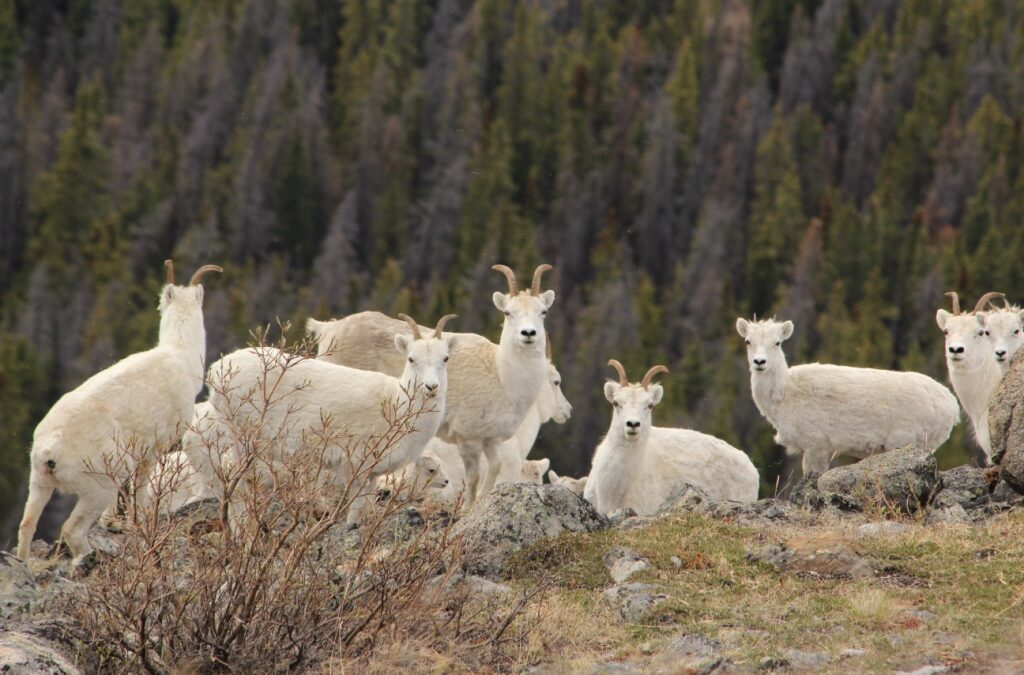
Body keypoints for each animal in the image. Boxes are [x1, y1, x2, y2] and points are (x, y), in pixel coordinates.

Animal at [16, 261, 221, 561]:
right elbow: (142, 486)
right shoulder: (153, 448)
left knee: (27, 526)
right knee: (72, 530)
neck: (180, 357)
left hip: (40, 484)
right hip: (97, 487)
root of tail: (49, 450)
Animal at [205, 313, 454, 524]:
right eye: (411, 359)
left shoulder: (373, 474)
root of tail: (217, 370)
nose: (431, 387)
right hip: (241, 438)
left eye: (445, 359)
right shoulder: (356, 465)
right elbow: (355, 506)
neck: (397, 406)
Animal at [737, 317, 958, 475]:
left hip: (909, 442)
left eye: (777, 343)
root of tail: (951, 406)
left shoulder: (817, 446)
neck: (784, 395)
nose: (759, 362)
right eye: (748, 341)